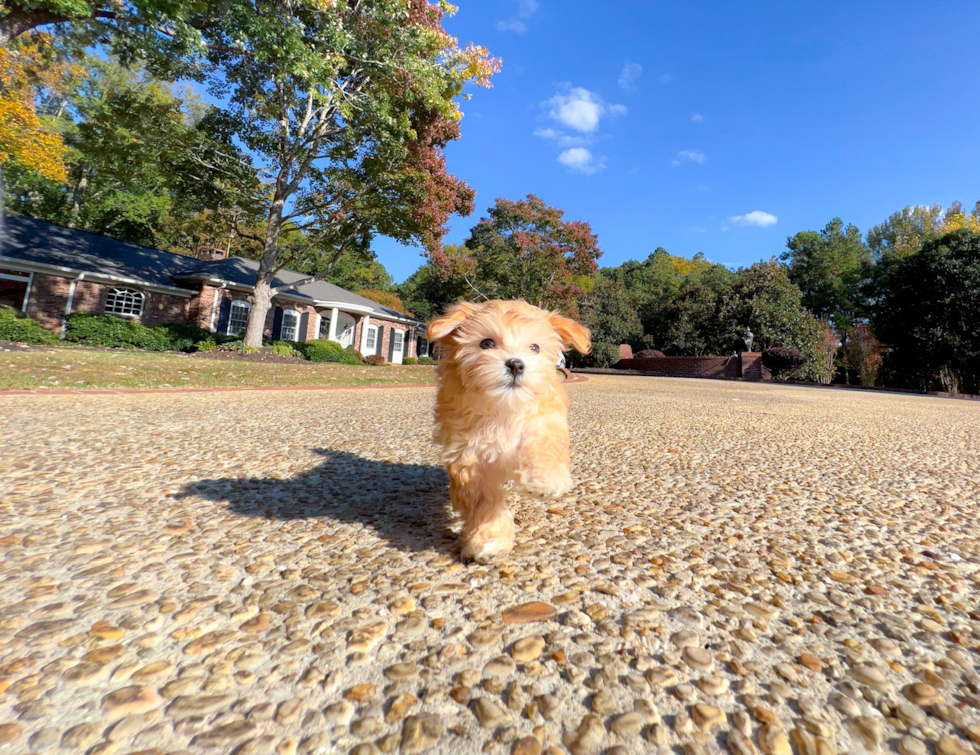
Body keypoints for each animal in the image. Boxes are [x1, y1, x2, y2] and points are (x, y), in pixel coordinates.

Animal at [426, 302, 588, 560]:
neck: (503, 408)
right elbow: (484, 499)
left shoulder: (542, 422)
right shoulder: (469, 455)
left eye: (534, 347)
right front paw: (488, 539)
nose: (516, 364)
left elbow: (542, 446)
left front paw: (543, 482)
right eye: (487, 343)